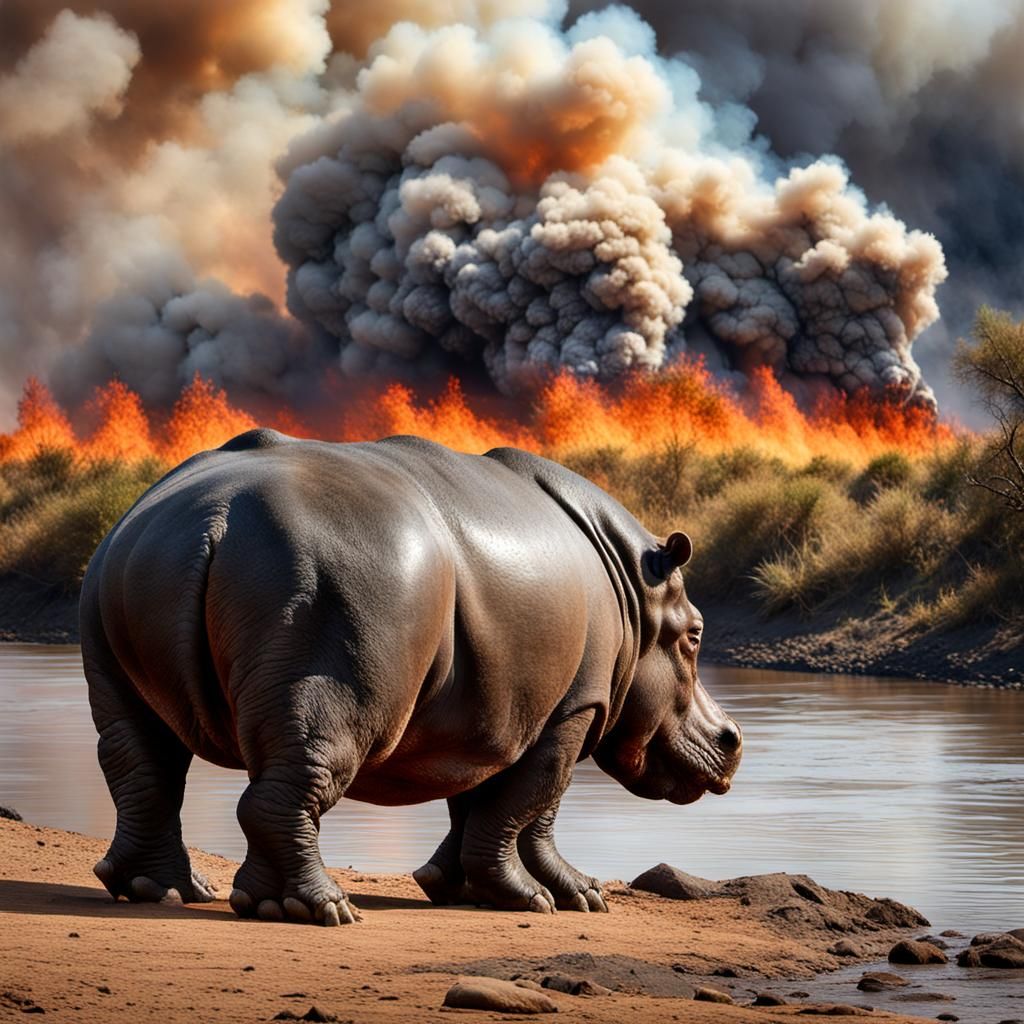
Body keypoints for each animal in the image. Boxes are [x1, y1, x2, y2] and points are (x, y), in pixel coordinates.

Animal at [81, 431, 742, 926]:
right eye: (695, 635)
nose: (733, 738)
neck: (638, 589)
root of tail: (212, 520)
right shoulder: (573, 709)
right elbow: (532, 804)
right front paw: (555, 900)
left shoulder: (496, 713)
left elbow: (482, 802)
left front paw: (465, 890)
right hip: (327, 603)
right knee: (304, 765)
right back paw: (319, 912)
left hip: (120, 572)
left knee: (143, 760)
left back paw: (168, 892)